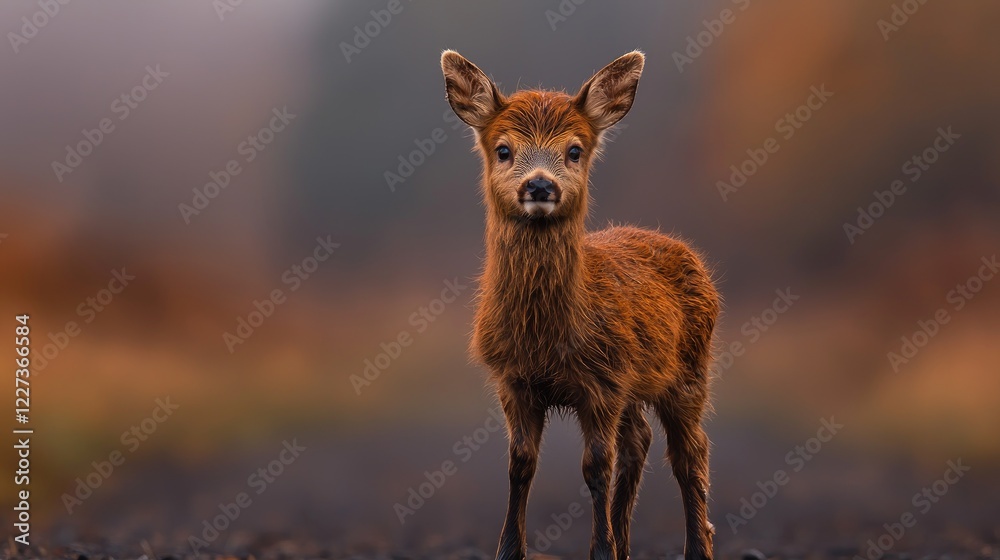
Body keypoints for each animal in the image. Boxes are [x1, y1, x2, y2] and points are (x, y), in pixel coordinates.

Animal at [440, 50, 720, 560]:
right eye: (503, 149)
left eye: (575, 150)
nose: (540, 186)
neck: (546, 340)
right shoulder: (513, 379)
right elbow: (520, 464)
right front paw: (509, 549)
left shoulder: (603, 382)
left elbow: (595, 467)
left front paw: (601, 551)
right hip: (638, 380)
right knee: (641, 440)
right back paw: (628, 544)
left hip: (690, 369)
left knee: (689, 453)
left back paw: (695, 546)